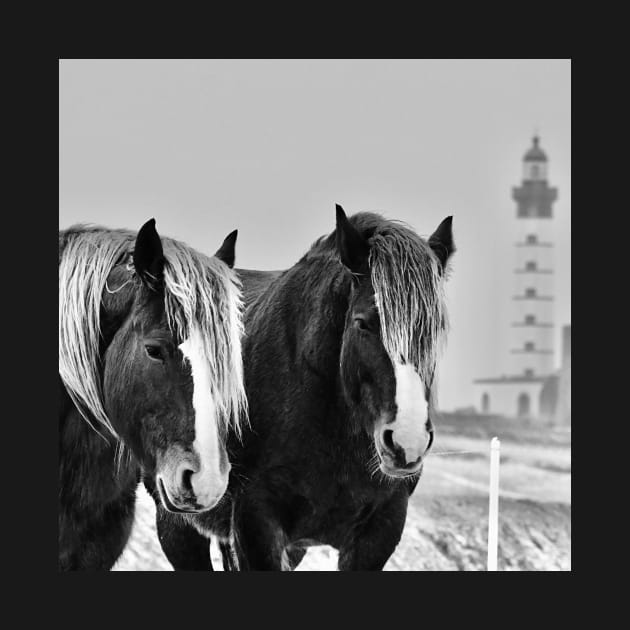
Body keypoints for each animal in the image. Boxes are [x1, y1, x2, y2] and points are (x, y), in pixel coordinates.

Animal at [154, 207, 460, 572]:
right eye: (363, 323)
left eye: (434, 329)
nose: (406, 443)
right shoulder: (256, 524)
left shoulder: (379, 531)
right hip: (178, 521)